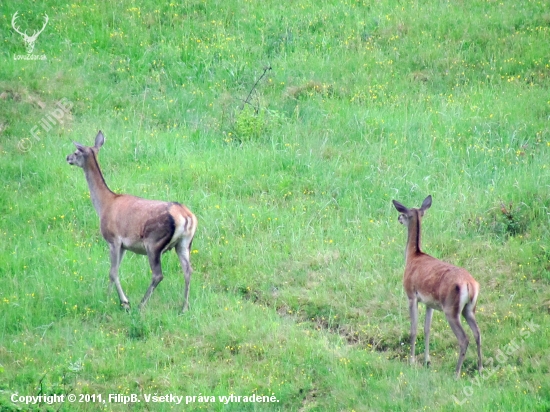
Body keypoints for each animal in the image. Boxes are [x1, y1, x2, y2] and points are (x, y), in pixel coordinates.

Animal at [66, 132, 198, 312]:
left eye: (77, 152)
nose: (67, 157)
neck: (105, 205)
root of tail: (186, 216)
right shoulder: (123, 246)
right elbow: (114, 271)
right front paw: (111, 298)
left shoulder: (113, 239)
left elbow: (113, 272)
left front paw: (121, 301)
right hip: (184, 243)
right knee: (188, 270)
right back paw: (184, 307)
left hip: (154, 243)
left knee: (158, 274)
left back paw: (141, 304)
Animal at [392, 195, 484, 378]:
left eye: (404, 214)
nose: (398, 218)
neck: (413, 256)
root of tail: (470, 284)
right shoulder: (430, 303)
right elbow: (427, 329)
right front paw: (427, 361)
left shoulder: (411, 295)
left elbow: (413, 329)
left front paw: (412, 361)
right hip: (469, 309)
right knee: (477, 333)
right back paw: (480, 368)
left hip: (451, 309)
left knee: (464, 338)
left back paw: (456, 373)